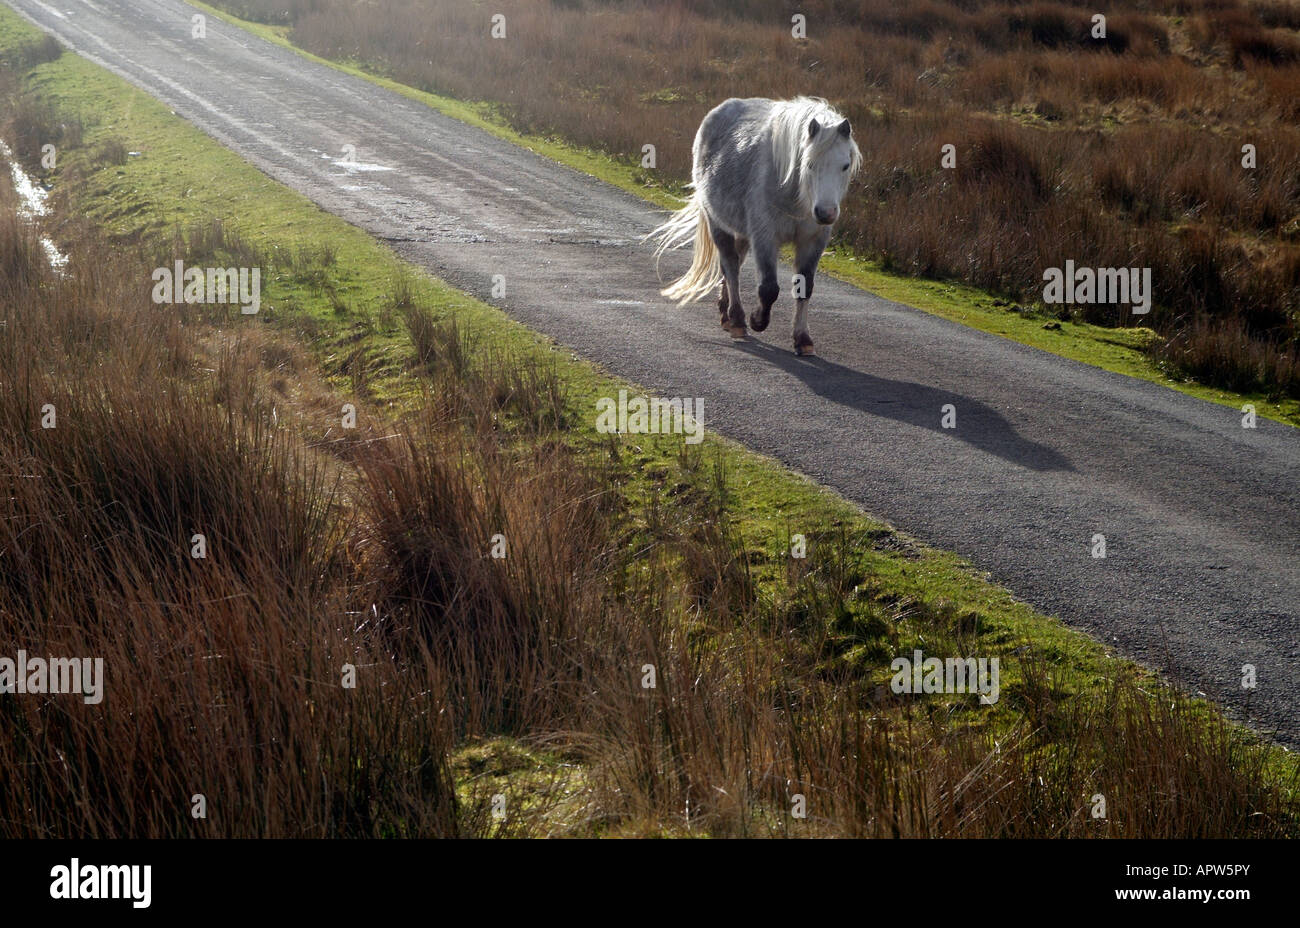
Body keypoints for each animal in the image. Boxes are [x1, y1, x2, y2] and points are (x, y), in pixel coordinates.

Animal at [655, 95, 857, 353]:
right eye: (810, 164)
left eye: (845, 165)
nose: (826, 213)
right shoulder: (764, 237)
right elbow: (769, 288)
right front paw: (757, 320)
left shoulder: (812, 241)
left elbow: (805, 286)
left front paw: (802, 338)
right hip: (718, 224)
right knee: (731, 266)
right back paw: (737, 320)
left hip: (741, 232)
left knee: (733, 265)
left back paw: (725, 312)